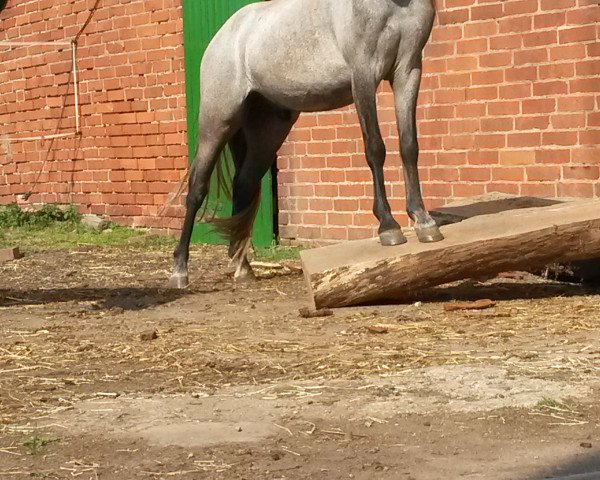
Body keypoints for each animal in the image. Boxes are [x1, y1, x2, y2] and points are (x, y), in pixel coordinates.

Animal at [169, 0, 440, 286]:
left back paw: (243, 267)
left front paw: (423, 220)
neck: (395, 6)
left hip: (268, 134)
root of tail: (224, 36)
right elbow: (375, 148)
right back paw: (180, 271)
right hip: (217, 122)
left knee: (244, 183)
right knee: (197, 189)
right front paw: (388, 225)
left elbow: (409, 146)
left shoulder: (408, 70)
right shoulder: (363, 74)